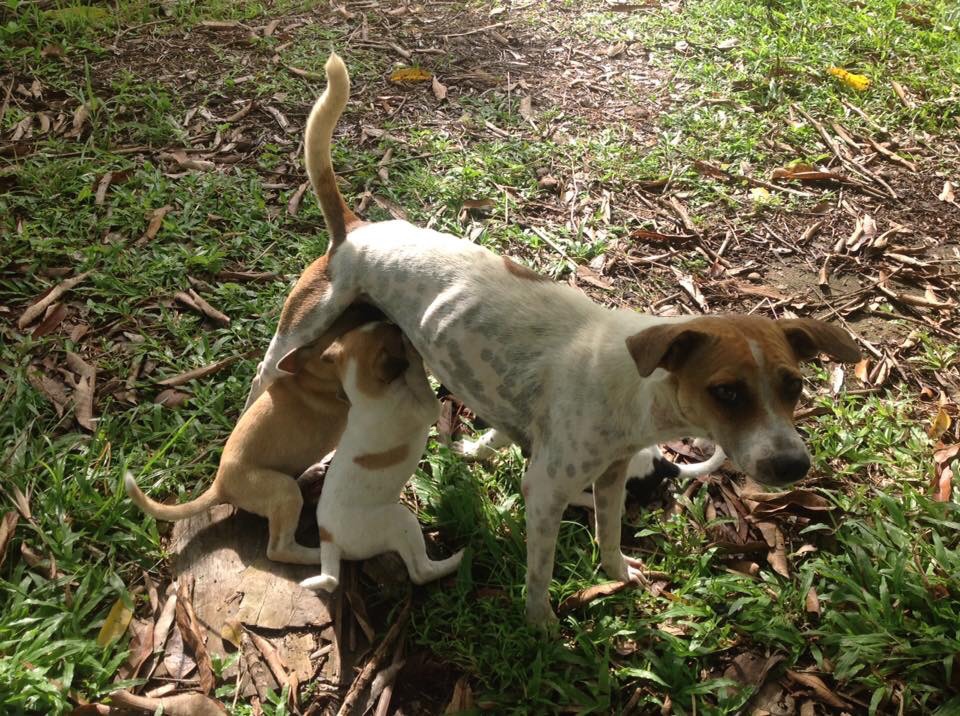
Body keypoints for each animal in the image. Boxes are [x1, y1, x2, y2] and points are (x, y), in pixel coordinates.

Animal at [125, 305, 383, 564]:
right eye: (347, 327)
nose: (373, 310)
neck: (311, 376)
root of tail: (220, 486)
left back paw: (310, 473)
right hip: (281, 490)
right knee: (279, 549)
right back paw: (320, 555)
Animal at [299, 323, 464, 592]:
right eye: (391, 332)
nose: (397, 325)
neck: (367, 396)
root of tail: (330, 539)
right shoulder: (428, 408)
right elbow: (418, 379)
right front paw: (413, 354)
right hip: (402, 521)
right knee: (421, 573)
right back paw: (457, 560)